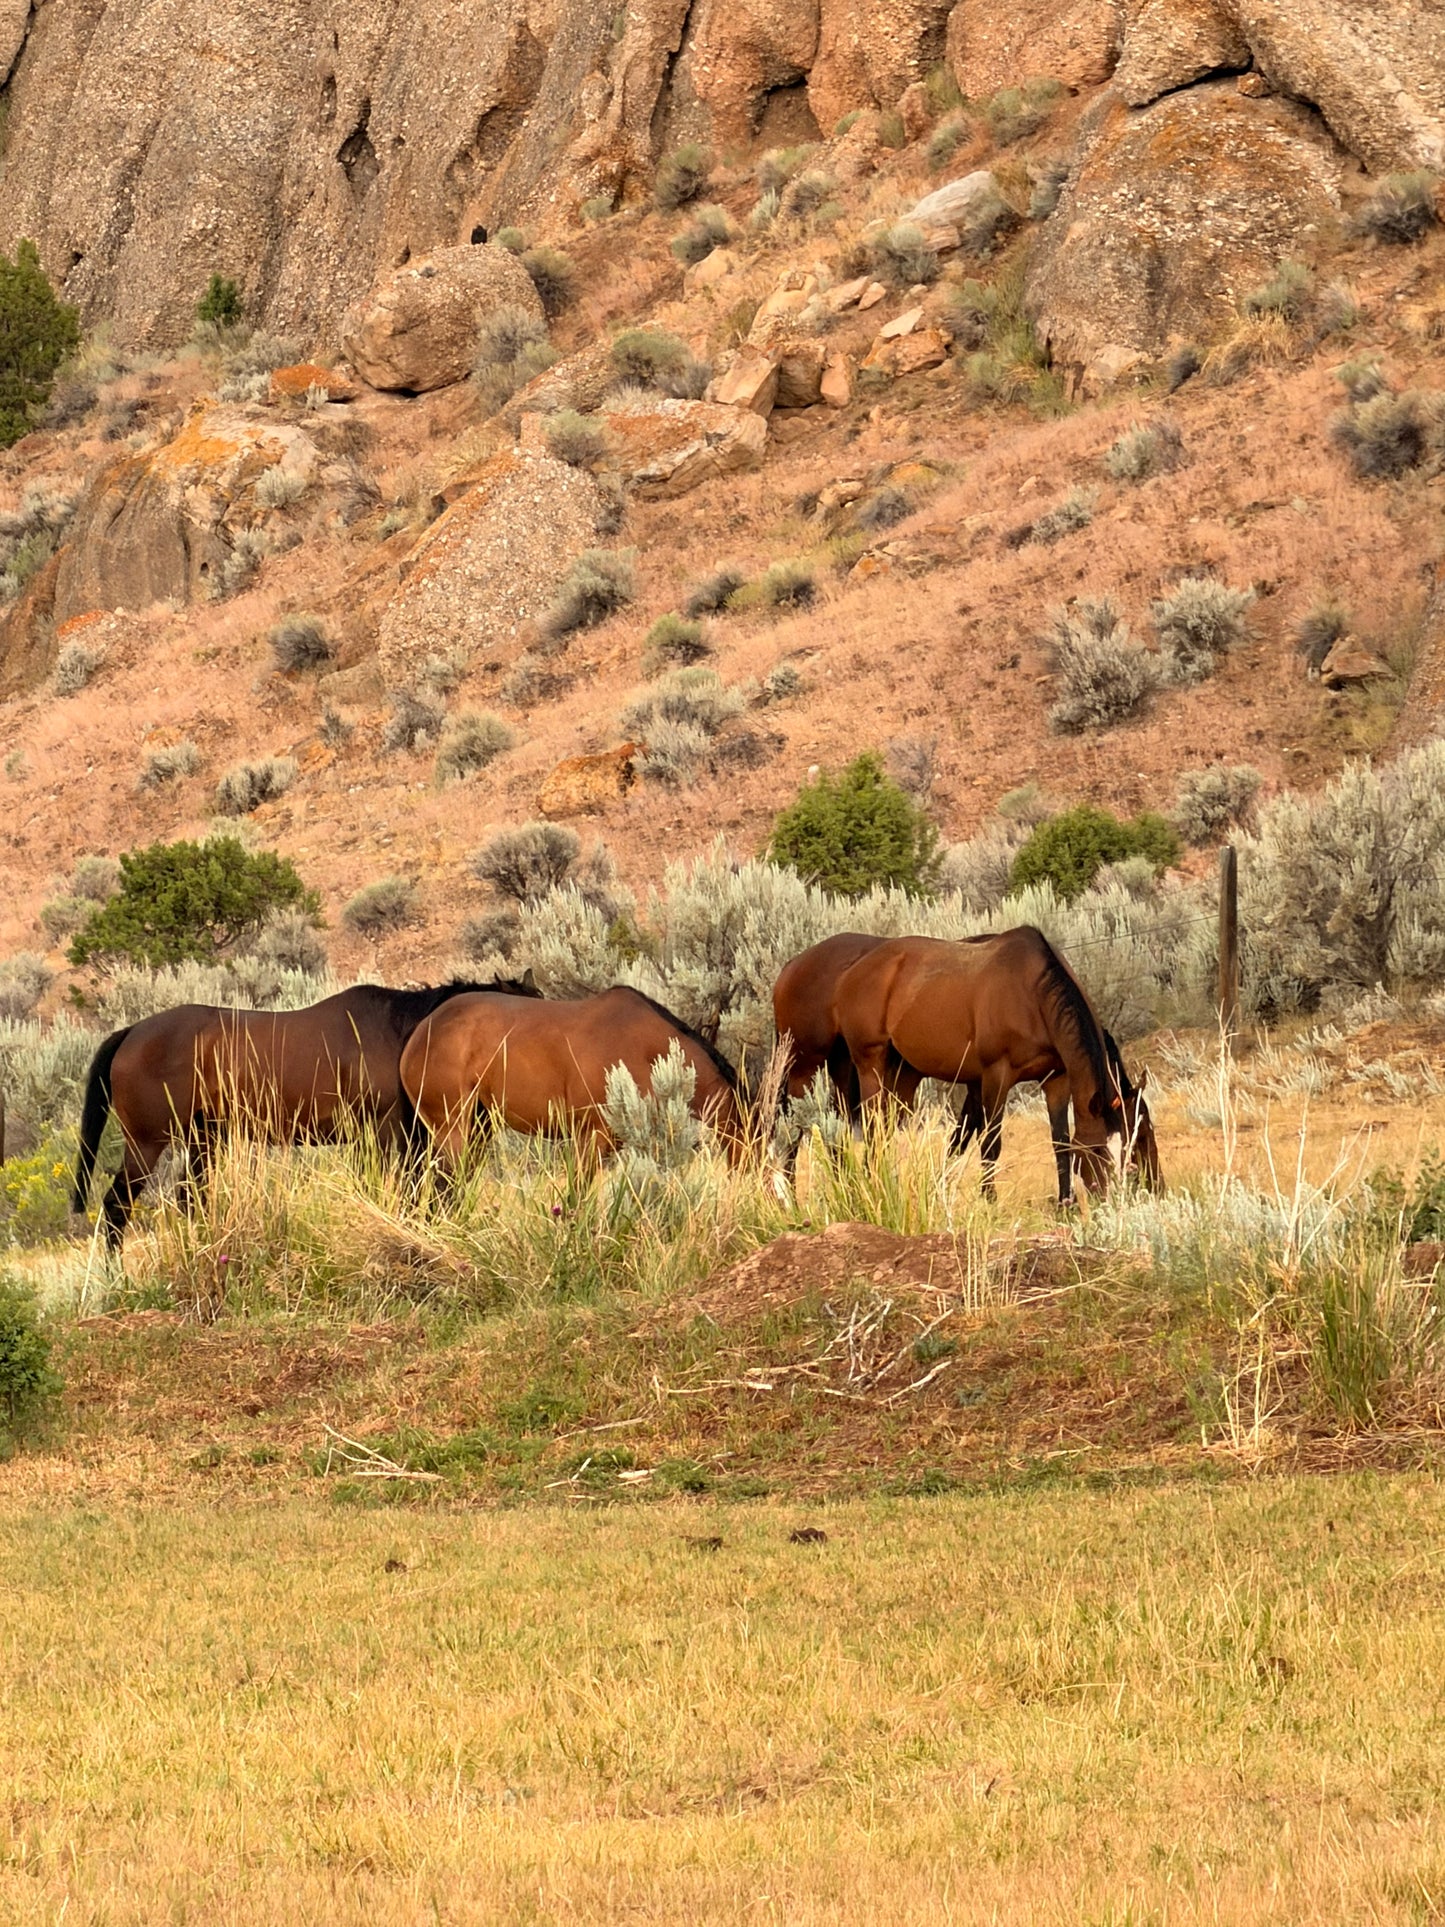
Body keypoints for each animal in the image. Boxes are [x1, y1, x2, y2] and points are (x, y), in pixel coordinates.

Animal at [71, 978, 538, 1249]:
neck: (403, 1035)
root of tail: (133, 1031)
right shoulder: (386, 1135)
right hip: (147, 1143)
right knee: (117, 1207)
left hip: (203, 1139)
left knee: (190, 1198)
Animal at [776, 928, 1157, 1197]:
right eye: (1098, 1149)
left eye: (1133, 1140)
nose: (1111, 1196)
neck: (1030, 995)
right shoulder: (994, 1076)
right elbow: (989, 1142)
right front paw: (987, 1200)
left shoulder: (1056, 1080)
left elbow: (1057, 1140)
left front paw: (1065, 1204)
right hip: (848, 1063)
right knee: (839, 1128)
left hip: (879, 1072)